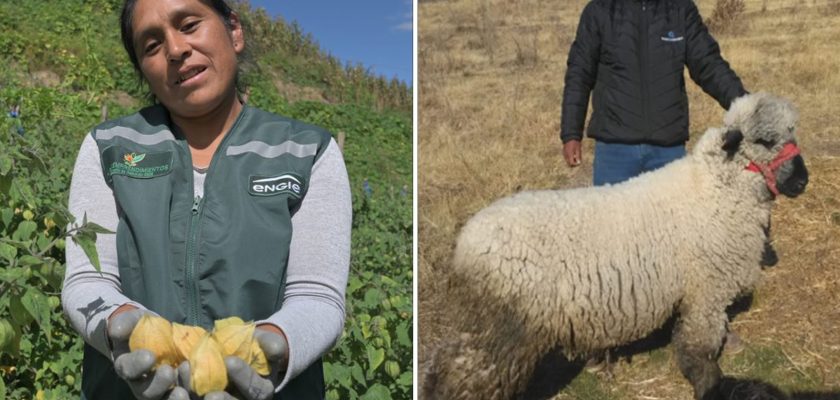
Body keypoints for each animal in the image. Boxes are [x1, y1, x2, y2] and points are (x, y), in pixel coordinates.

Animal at [424, 92, 812, 398]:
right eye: (764, 140)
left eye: (792, 131)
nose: (802, 181)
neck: (715, 188)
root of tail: (465, 243)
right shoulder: (706, 291)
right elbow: (699, 350)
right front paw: (710, 386)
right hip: (503, 329)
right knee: (462, 376)